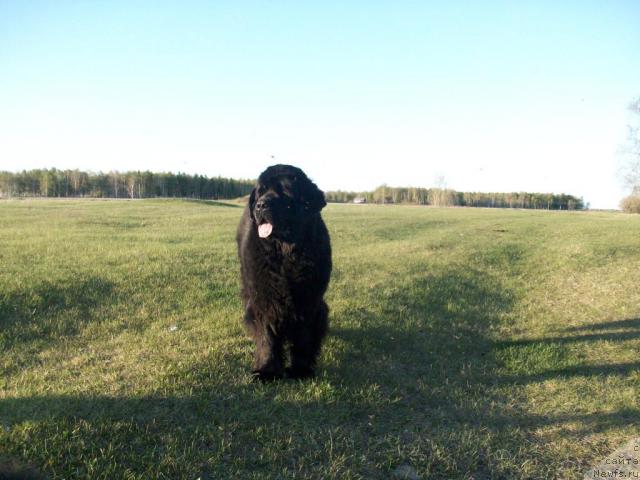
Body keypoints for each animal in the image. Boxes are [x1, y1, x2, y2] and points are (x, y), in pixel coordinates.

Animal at [238, 165, 332, 382]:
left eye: (284, 191)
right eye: (261, 191)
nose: (260, 206)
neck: (286, 253)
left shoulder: (308, 299)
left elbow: (304, 335)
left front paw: (300, 369)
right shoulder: (264, 298)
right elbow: (266, 334)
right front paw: (267, 370)